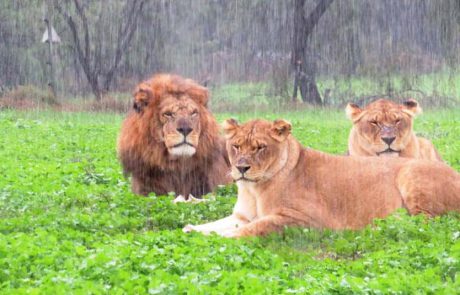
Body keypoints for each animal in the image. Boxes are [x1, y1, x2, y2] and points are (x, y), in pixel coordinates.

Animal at [184, 119, 460, 237]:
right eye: (236, 146)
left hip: (411, 173)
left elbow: (257, 227)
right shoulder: (241, 216)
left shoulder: (306, 219)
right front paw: (191, 229)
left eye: (260, 147)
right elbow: (215, 224)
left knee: (426, 223)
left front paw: (223, 239)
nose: (241, 168)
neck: (253, 189)